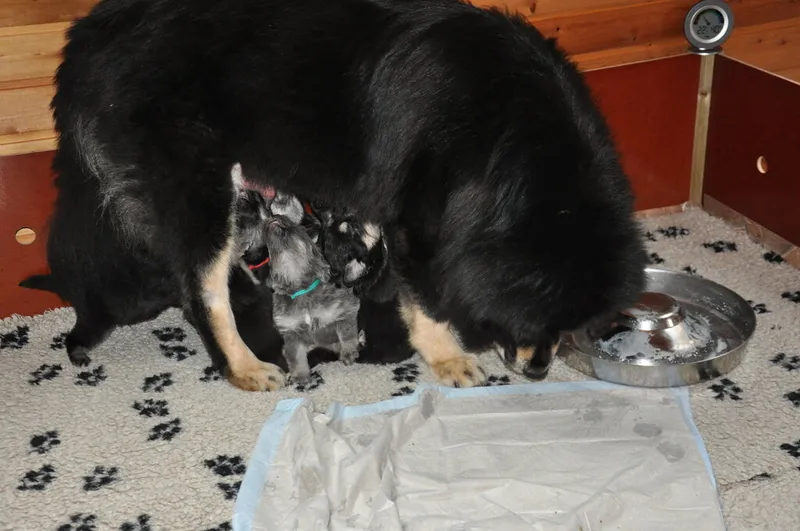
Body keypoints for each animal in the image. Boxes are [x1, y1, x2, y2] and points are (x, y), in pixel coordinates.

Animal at [47, 0, 647, 390]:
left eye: (570, 328)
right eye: (532, 323)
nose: (538, 371)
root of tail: (87, 36)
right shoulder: (419, 223)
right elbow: (426, 298)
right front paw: (447, 357)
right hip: (201, 195)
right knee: (202, 292)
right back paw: (243, 368)